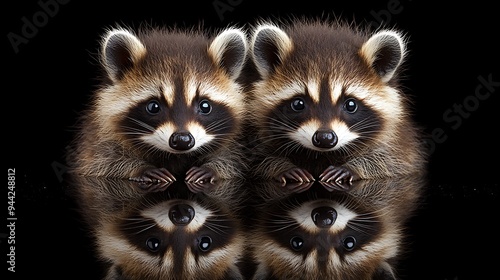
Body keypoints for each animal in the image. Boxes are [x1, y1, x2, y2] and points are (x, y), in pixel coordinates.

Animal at [66, 25, 250, 185]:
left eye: (205, 106)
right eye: (153, 107)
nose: (182, 140)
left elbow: (233, 159)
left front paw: (212, 168)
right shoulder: (96, 135)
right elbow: (101, 160)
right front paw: (140, 168)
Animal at [248, 18, 428, 187]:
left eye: (350, 105)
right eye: (298, 104)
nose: (325, 138)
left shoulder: (400, 140)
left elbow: (396, 161)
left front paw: (353, 167)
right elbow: (257, 160)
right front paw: (282, 167)